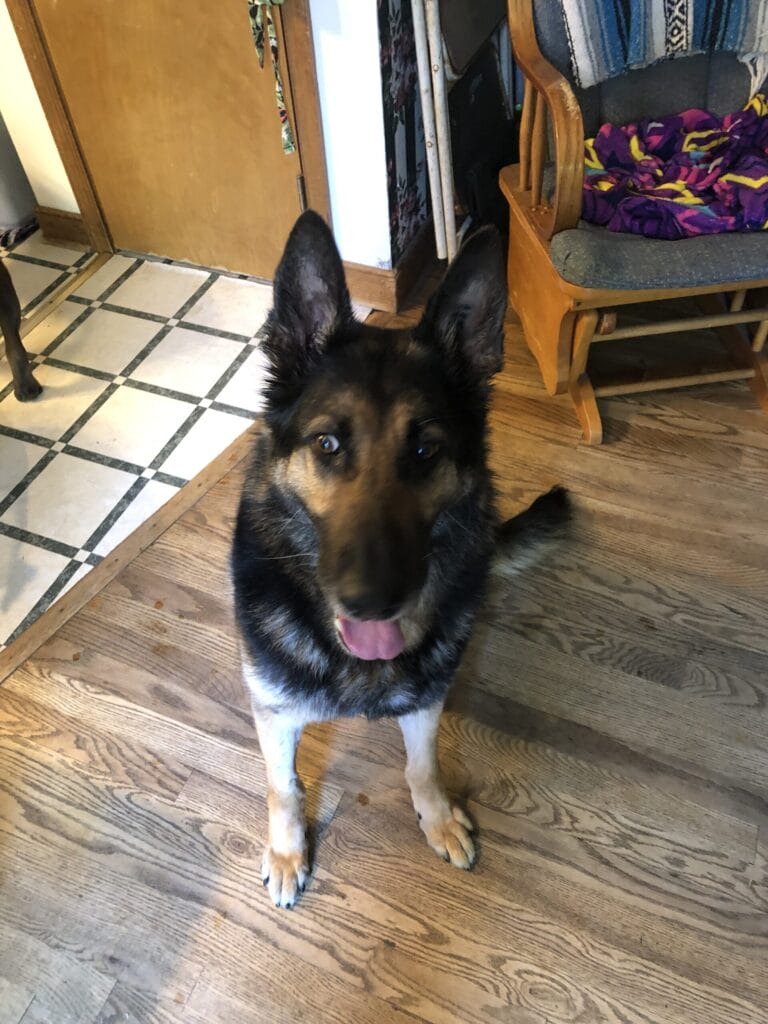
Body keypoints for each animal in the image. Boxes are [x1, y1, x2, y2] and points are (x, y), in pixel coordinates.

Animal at [231, 211, 569, 907]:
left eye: (424, 451)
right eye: (328, 444)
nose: (373, 600)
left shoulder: (426, 701)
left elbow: (423, 763)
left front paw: (436, 817)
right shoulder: (274, 712)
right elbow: (283, 787)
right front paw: (287, 851)